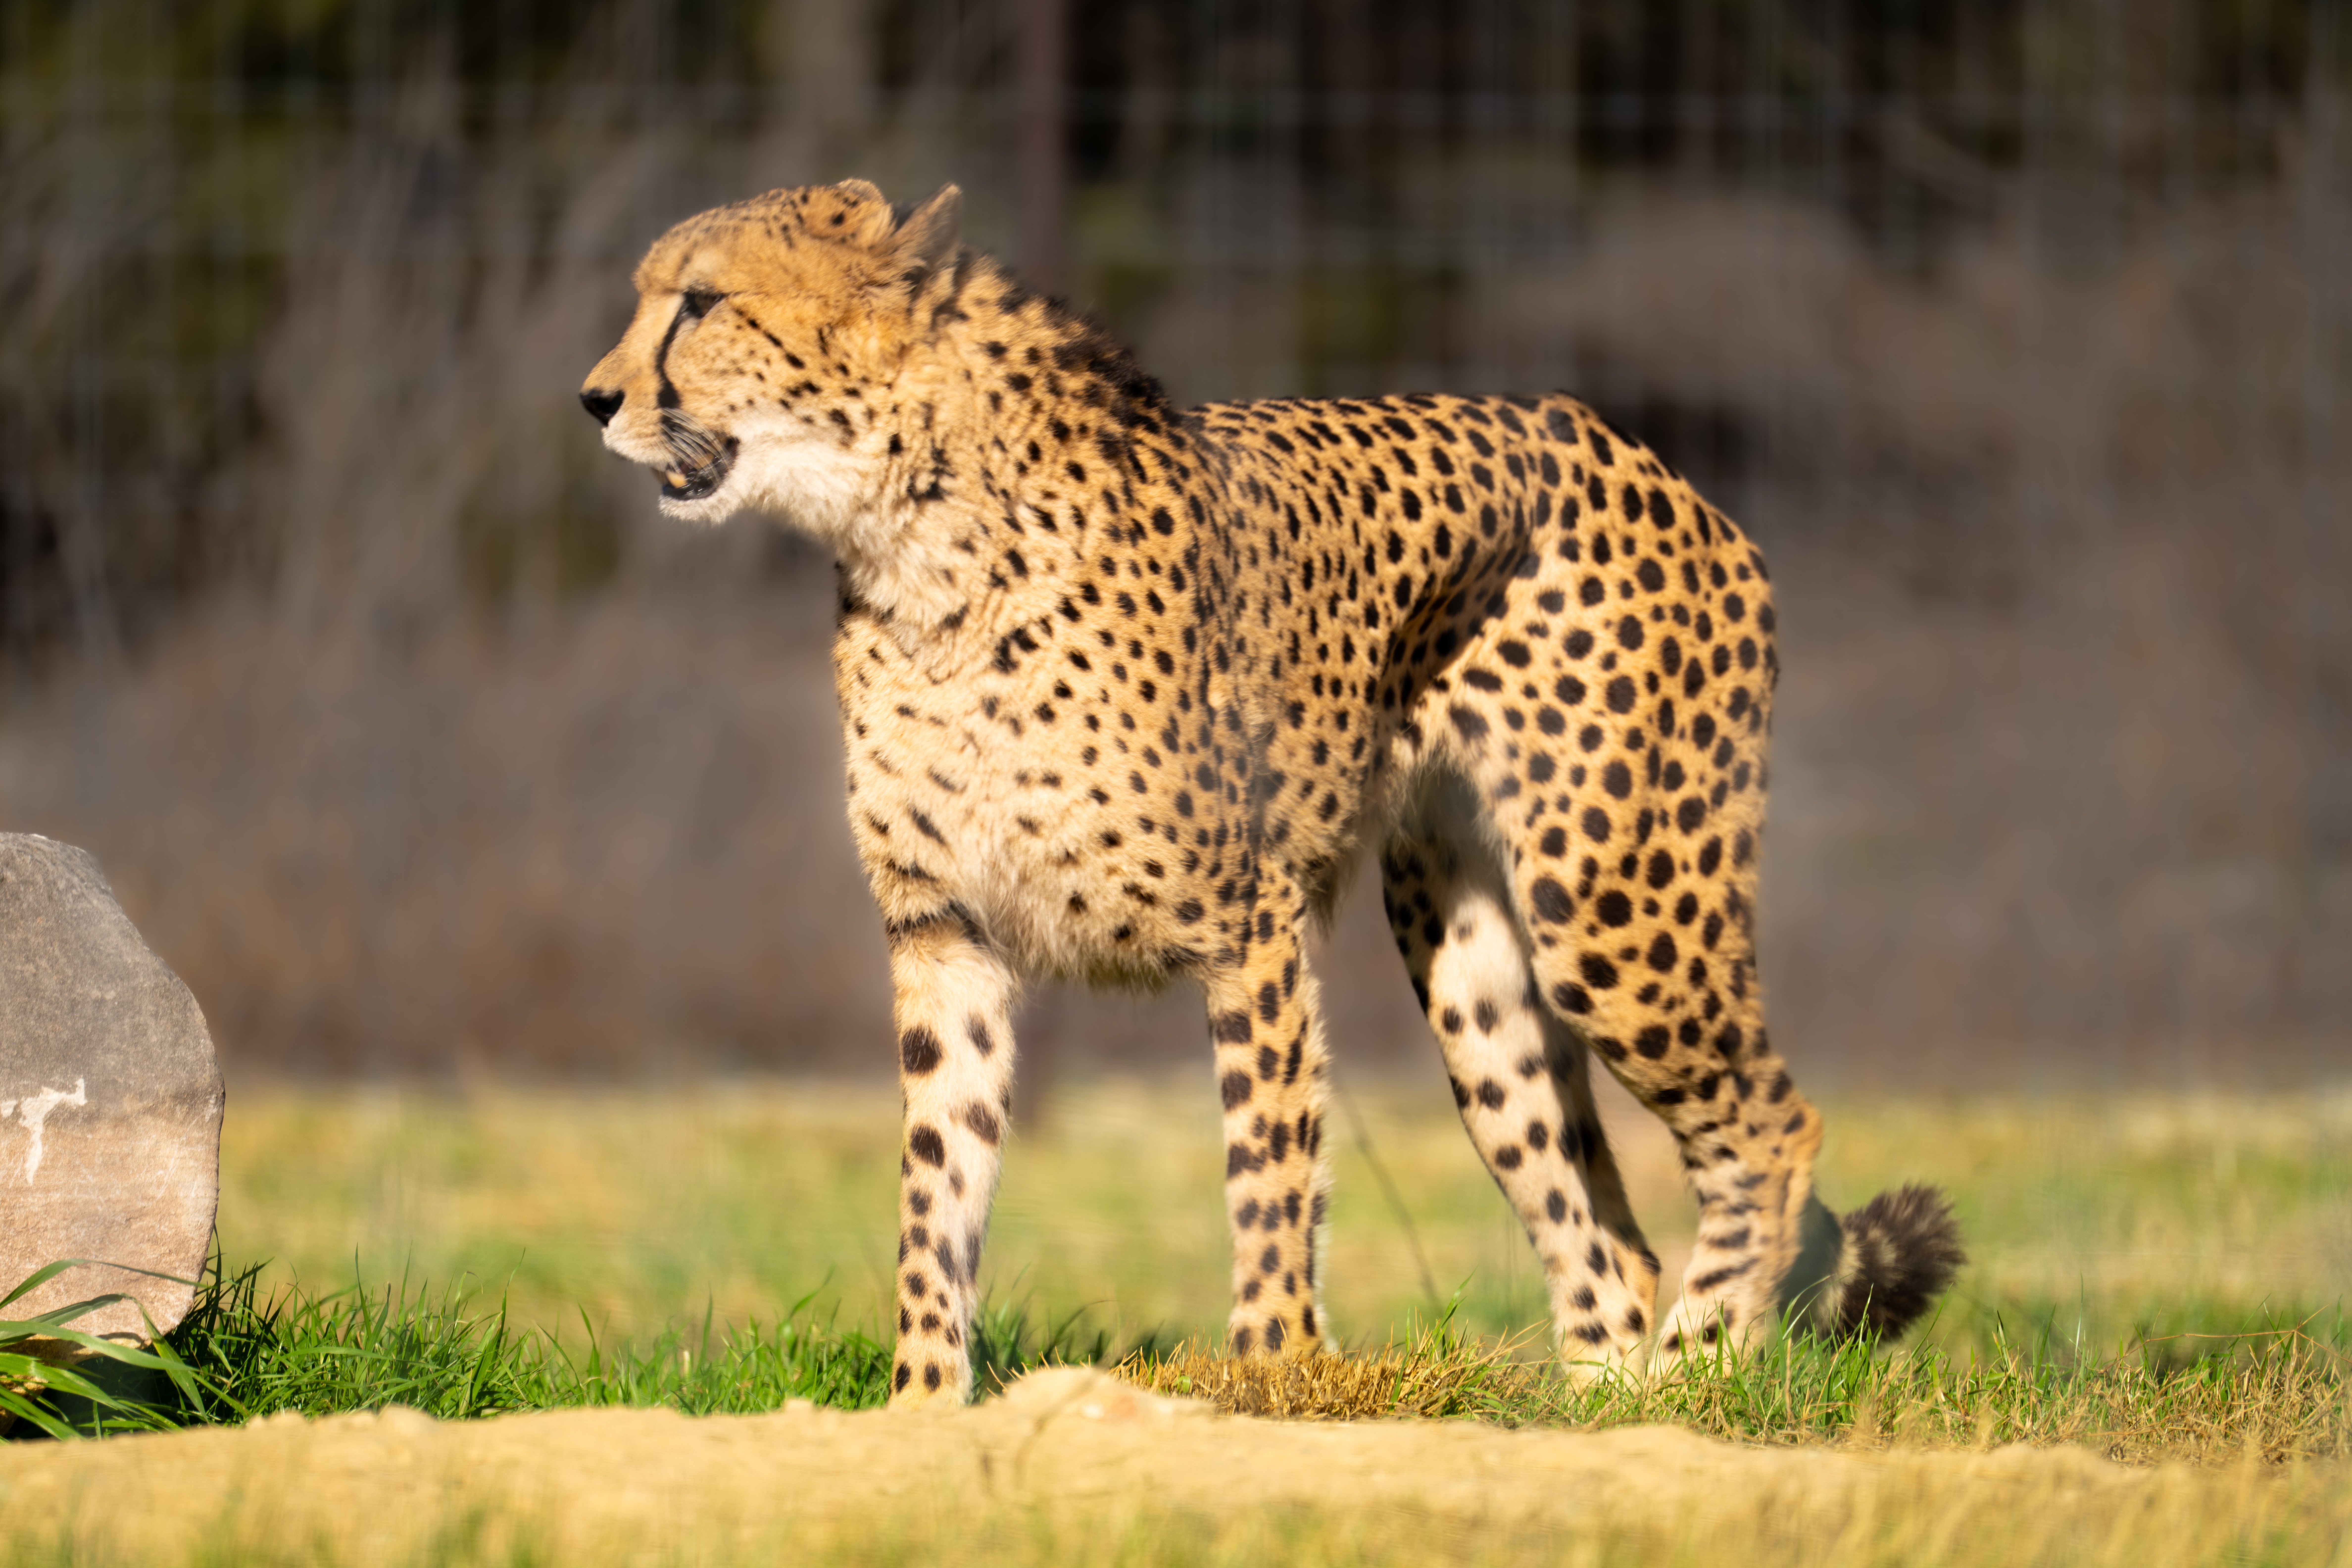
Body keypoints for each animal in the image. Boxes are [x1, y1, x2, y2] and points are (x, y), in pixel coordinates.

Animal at [581, 178, 1965, 1407]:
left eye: (699, 303)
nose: (594, 399)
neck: (912, 539)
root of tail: (1642, 456)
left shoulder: (1248, 922)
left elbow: (1268, 1161)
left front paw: (1266, 1379)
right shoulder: (945, 935)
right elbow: (939, 1190)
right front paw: (919, 1405)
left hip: (1612, 903)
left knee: (1770, 1129)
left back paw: (1698, 1374)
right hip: (1472, 967)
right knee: (1602, 1228)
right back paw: (1607, 1405)